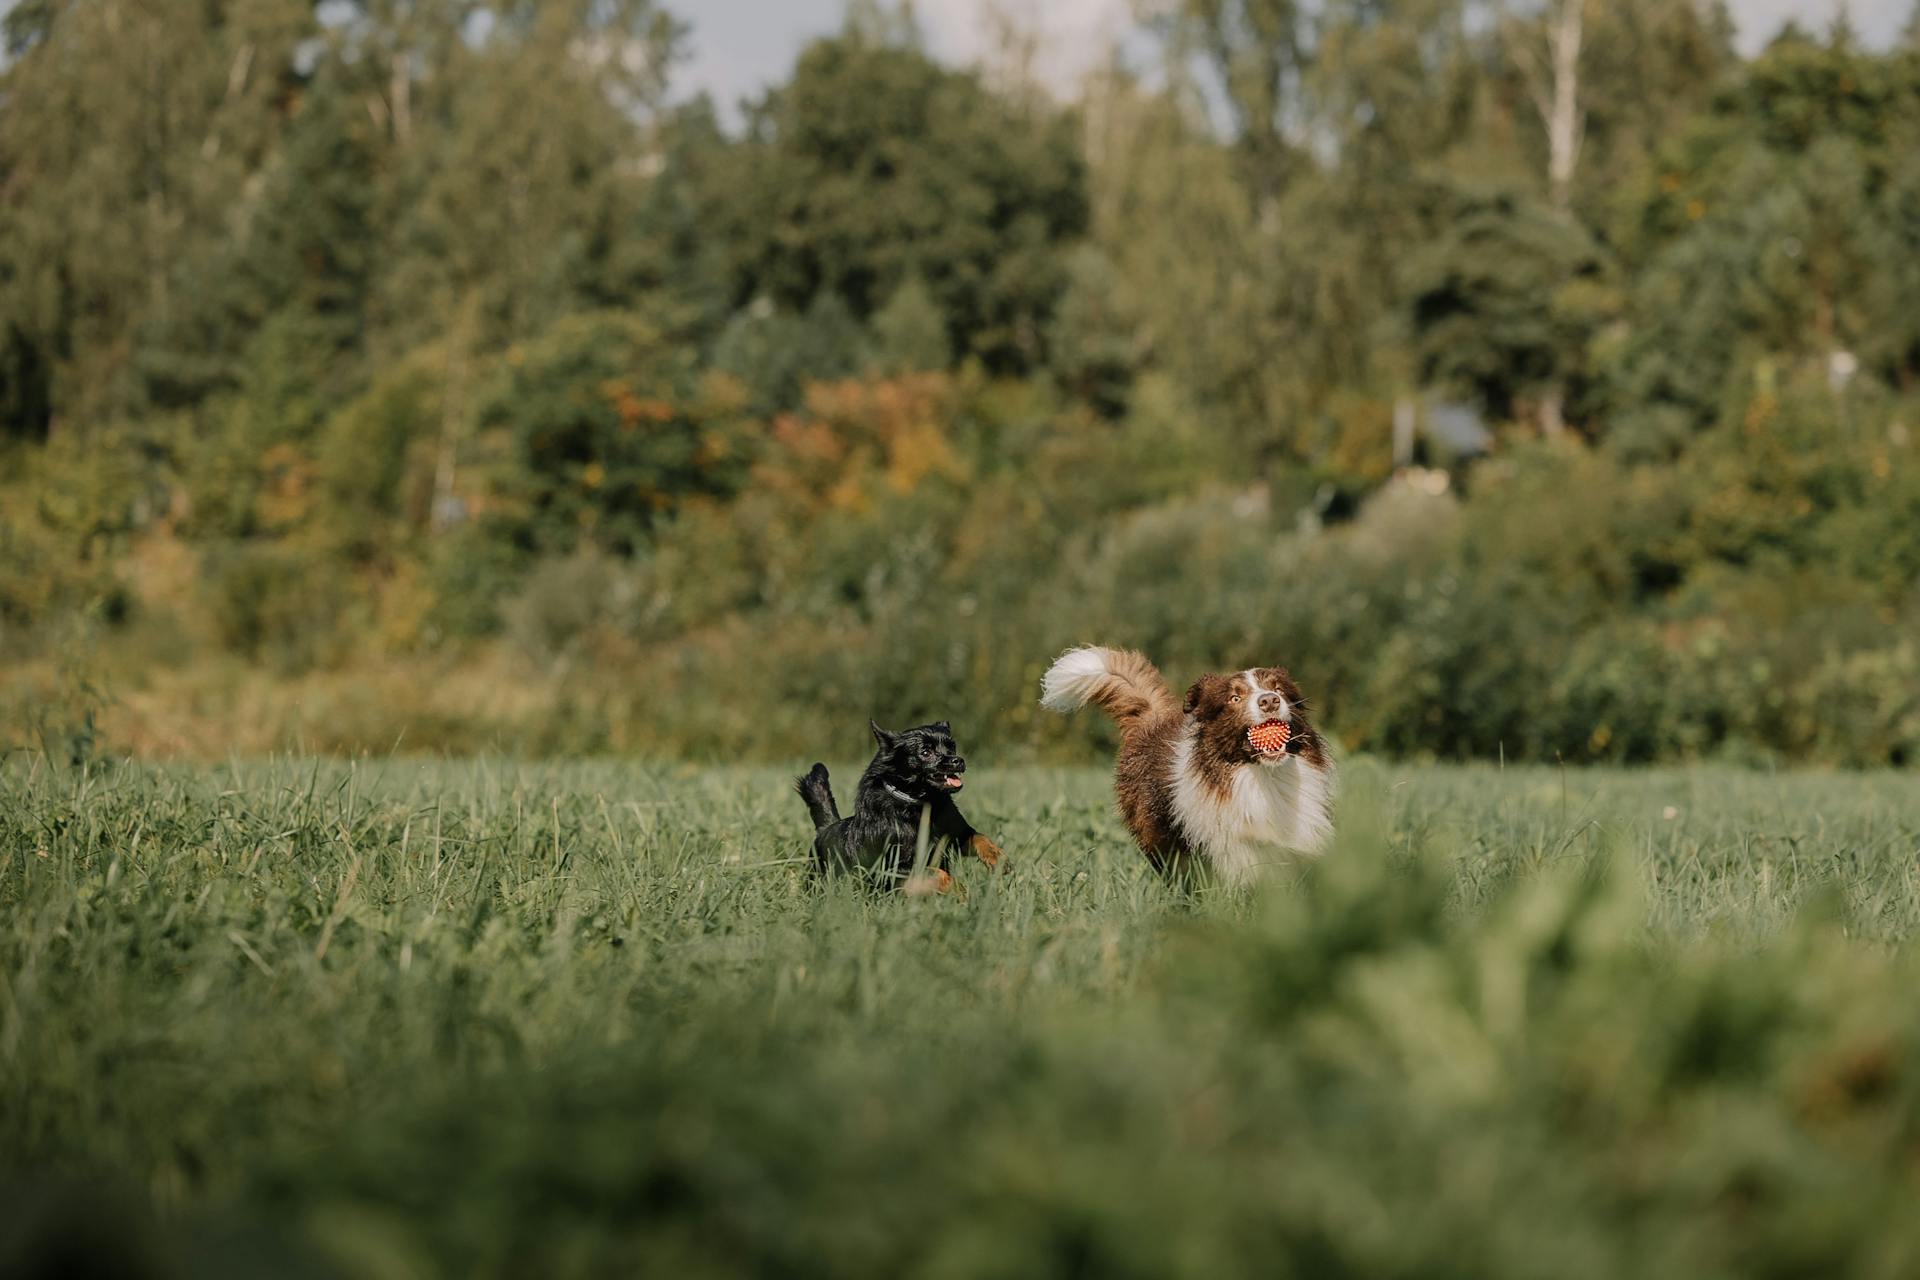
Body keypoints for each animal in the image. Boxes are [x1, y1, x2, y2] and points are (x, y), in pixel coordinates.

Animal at [794, 721, 1006, 890]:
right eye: (926, 752)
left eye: (952, 747)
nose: (958, 760)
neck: (921, 804)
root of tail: (825, 829)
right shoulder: (894, 865)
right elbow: (935, 872)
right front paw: (958, 891)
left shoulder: (955, 834)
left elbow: (979, 837)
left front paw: (998, 858)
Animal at [1036, 644, 1336, 886]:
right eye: (1235, 698)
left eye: (1277, 689)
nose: (1270, 701)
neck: (1260, 776)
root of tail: (1152, 718)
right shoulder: (1226, 849)